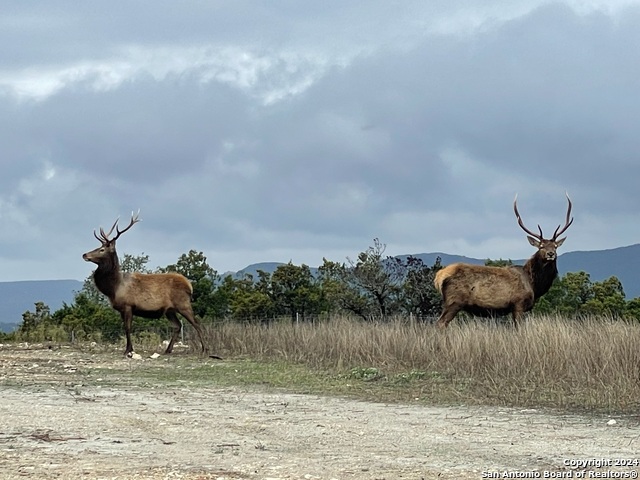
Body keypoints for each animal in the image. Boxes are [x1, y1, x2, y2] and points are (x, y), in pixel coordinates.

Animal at [82, 212, 208, 354]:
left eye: (102, 249)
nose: (85, 255)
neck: (113, 288)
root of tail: (189, 286)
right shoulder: (121, 309)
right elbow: (125, 328)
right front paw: (129, 348)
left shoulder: (128, 305)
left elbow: (128, 328)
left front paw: (128, 350)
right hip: (169, 310)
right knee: (178, 325)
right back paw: (168, 350)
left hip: (183, 304)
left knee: (196, 324)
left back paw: (205, 349)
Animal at [432, 193, 572, 328]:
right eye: (541, 246)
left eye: (555, 246)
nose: (550, 253)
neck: (534, 284)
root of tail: (439, 276)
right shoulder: (518, 303)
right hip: (454, 301)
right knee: (441, 323)